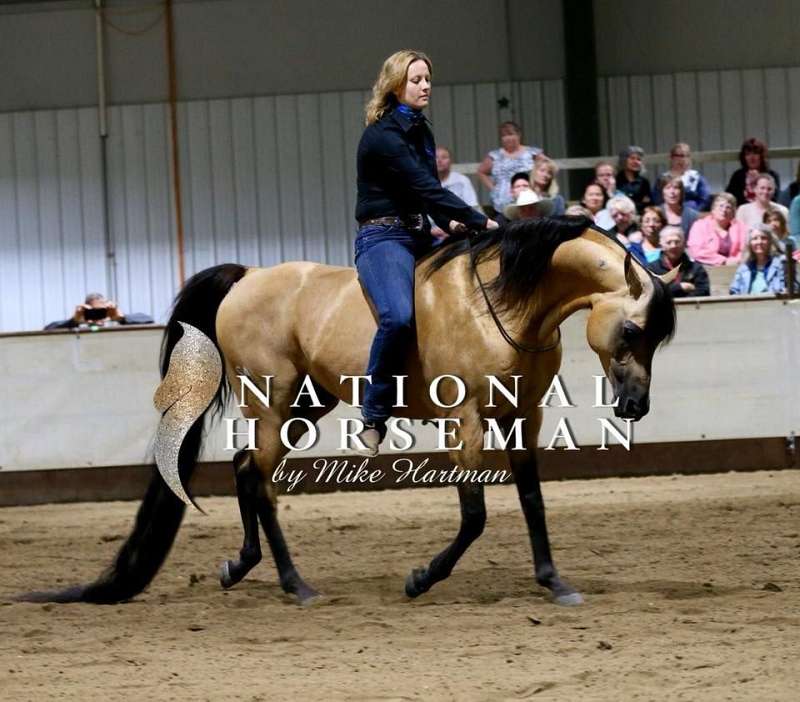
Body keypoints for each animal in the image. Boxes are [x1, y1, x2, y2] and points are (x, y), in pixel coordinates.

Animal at [19, 217, 677, 607]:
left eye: (657, 337)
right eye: (632, 329)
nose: (636, 406)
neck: (502, 305)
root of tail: (246, 277)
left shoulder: (524, 416)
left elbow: (533, 500)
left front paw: (553, 581)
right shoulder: (464, 420)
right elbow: (474, 514)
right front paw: (420, 579)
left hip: (304, 404)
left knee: (243, 469)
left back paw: (243, 567)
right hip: (272, 400)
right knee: (258, 478)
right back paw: (294, 583)